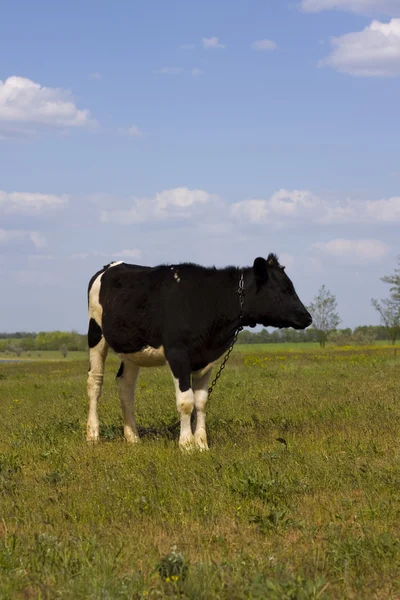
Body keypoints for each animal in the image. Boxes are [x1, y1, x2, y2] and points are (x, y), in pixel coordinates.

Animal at [86, 253, 312, 450]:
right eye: (284, 289)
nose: (307, 317)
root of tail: (111, 266)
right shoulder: (178, 355)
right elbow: (186, 402)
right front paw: (186, 445)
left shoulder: (207, 359)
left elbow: (201, 402)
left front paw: (202, 444)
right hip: (96, 334)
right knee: (95, 382)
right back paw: (93, 435)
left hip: (132, 350)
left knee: (125, 386)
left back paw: (132, 437)